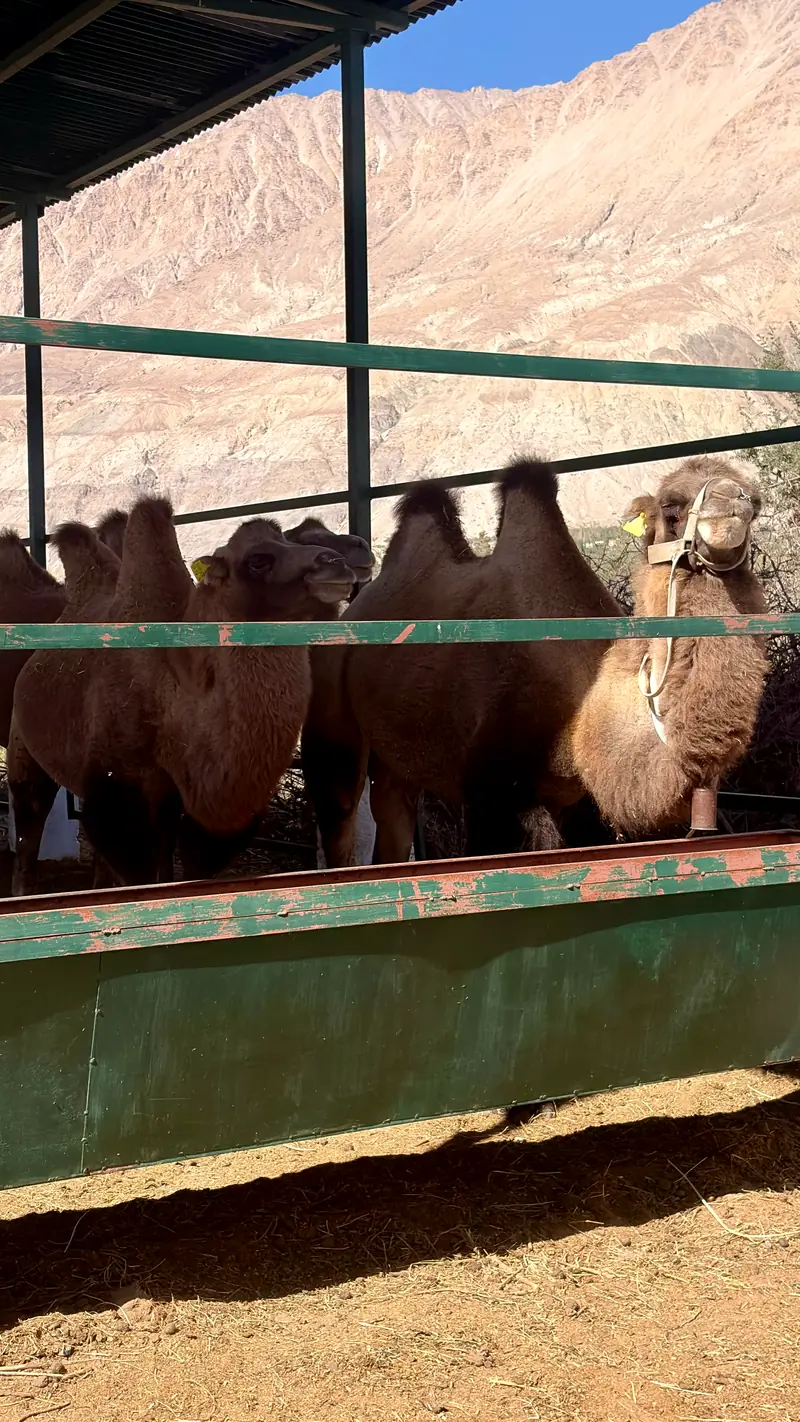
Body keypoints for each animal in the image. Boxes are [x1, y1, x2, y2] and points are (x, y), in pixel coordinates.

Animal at [9, 500, 358, 891]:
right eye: (258, 560)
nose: (337, 562)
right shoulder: (122, 792)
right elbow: (140, 871)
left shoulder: (193, 806)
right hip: (25, 743)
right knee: (29, 818)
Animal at [303, 455, 768, 865]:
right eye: (671, 509)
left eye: (756, 503)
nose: (733, 501)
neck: (580, 708)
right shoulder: (492, 790)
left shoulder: (582, 802)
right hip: (330, 708)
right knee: (338, 814)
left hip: (394, 749)